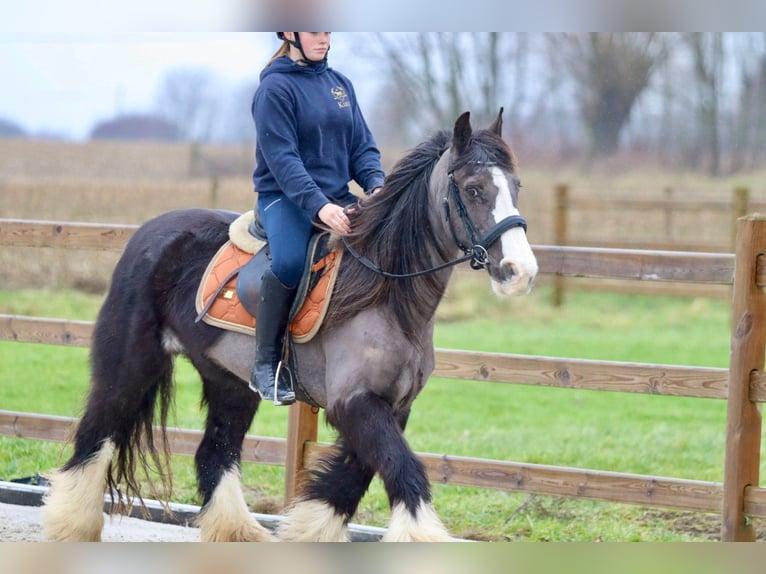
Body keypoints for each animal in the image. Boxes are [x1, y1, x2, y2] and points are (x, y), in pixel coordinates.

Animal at [42, 109, 540, 544]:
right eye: (473, 189)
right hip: (131, 365)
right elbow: (404, 471)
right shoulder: (354, 403)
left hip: (230, 383)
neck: (384, 295)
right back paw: (72, 525)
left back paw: (235, 533)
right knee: (96, 435)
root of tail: (148, 234)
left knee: (214, 454)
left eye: (516, 186)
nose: (520, 272)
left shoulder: (392, 406)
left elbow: (351, 478)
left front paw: (310, 534)